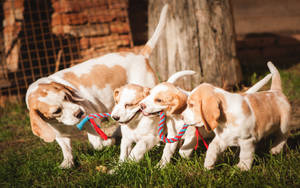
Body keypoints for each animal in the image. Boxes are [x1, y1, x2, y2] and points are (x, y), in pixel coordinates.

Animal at [25, 5, 169, 168]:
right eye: (56, 111)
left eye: (66, 97)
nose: (79, 113)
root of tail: (140, 55)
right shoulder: (59, 133)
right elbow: (66, 148)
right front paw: (67, 163)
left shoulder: (90, 120)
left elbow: (97, 144)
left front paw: (109, 142)